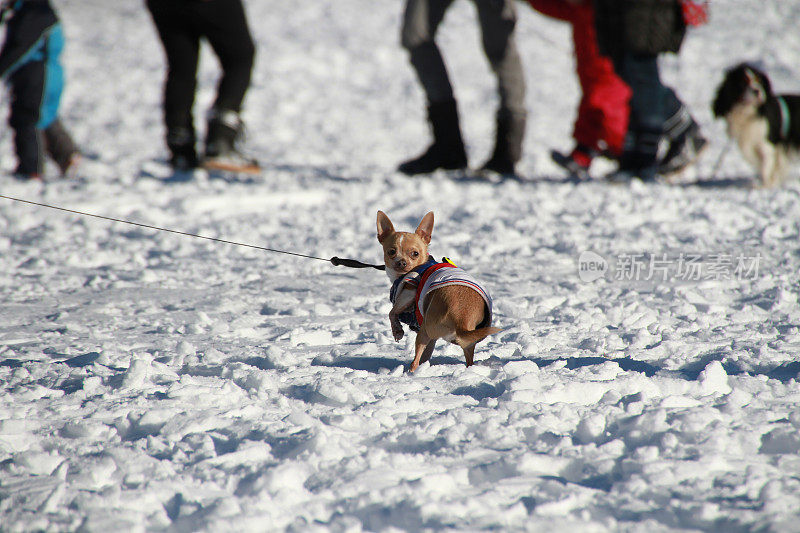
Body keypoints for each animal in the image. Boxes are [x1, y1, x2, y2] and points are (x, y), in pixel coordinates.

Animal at [376, 210, 500, 372]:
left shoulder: (408, 292)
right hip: (463, 340)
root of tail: (461, 319)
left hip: (424, 330)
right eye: (391, 251)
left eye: (415, 254)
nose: (401, 262)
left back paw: (411, 372)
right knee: (466, 358)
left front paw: (397, 331)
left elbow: (392, 312)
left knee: (415, 360)